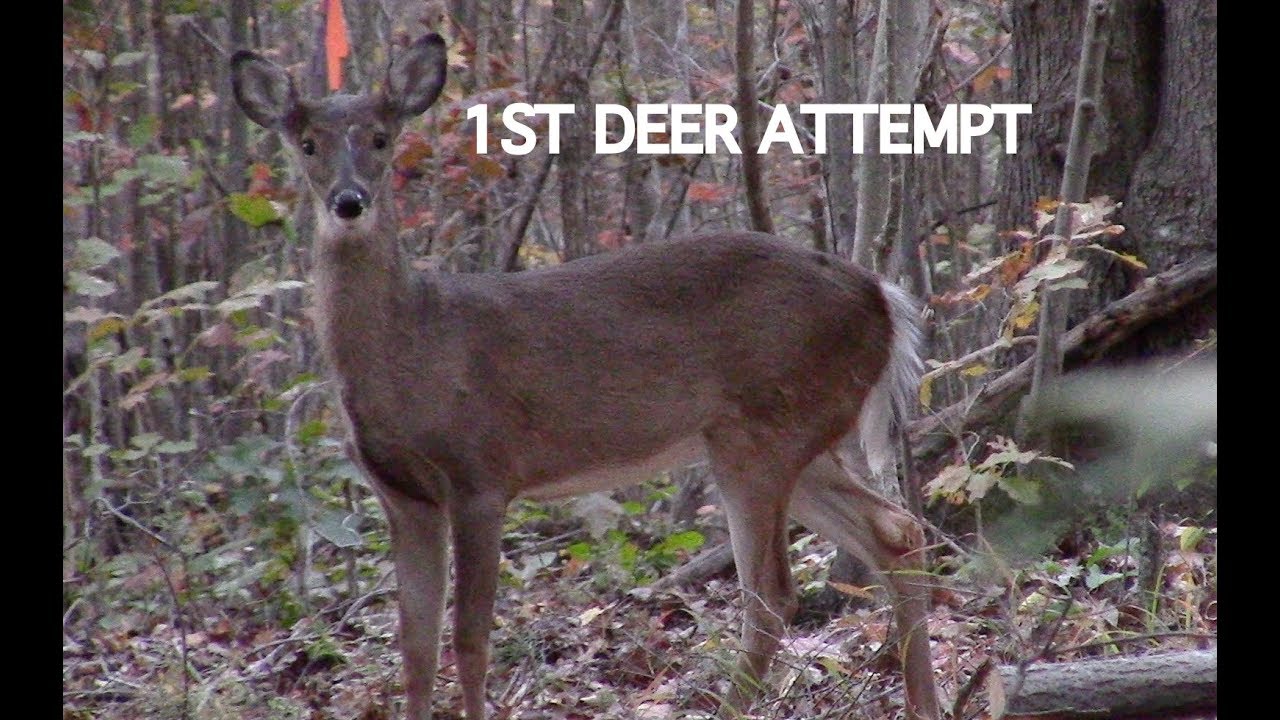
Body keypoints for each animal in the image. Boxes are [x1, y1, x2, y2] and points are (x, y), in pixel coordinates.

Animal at [231, 33, 940, 720]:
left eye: (381, 137)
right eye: (307, 143)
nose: (349, 201)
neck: (410, 349)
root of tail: (882, 298)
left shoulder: (481, 473)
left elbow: (469, 637)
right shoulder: (402, 496)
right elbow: (415, 646)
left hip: (766, 428)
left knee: (772, 597)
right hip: (789, 432)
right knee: (894, 533)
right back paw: (923, 703)